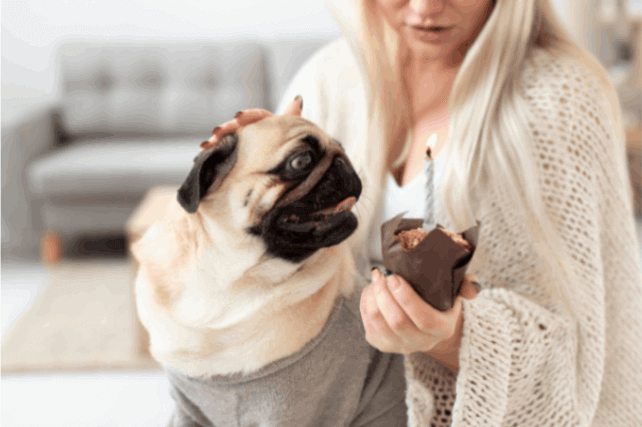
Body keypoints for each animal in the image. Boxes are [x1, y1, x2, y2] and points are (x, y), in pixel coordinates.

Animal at [132, 98, 408, 426]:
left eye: (341, 147)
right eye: (300, 162)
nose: (343, 160)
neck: (230, 280)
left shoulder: (291, 412)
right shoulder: (188, 409)